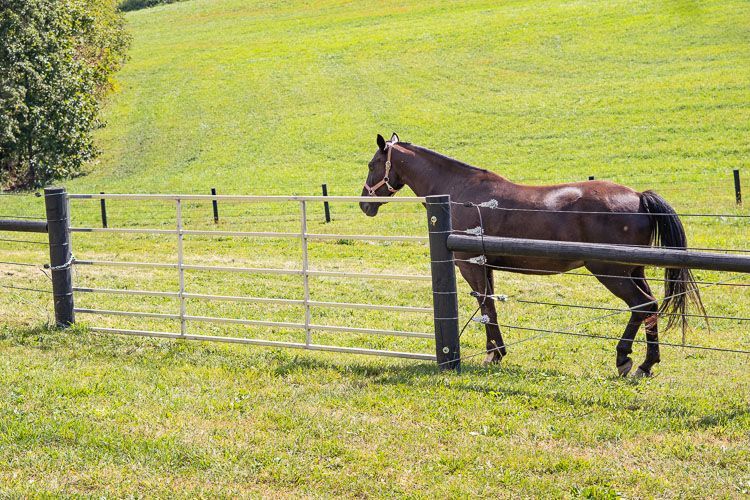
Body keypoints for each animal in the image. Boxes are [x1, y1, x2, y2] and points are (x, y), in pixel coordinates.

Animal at [359, 133, 706, 377]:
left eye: (372, 164)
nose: (364, 203)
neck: (458, 192)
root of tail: (637, 196)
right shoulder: (485, 265)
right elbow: (490, 304)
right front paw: (497, 351)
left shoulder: (469, 265)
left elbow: (485, 305)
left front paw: (494, 354)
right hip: (634, 271)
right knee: (651, 308)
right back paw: (648, 363)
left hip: (611, 272)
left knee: (641, 306)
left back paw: (624, 358)